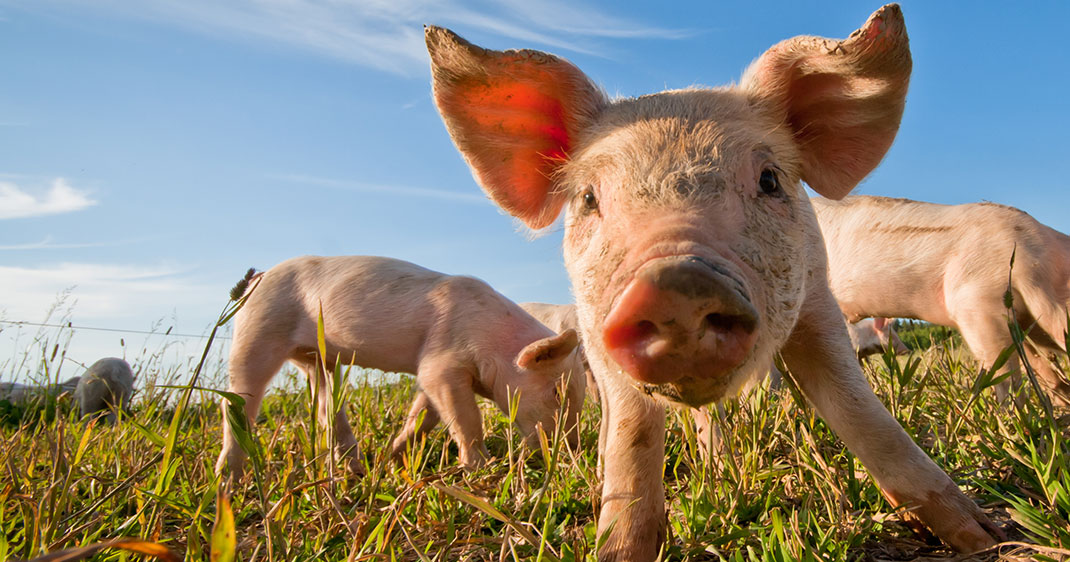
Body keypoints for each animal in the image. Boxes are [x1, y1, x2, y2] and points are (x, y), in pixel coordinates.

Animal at [215, 255, 585, 477]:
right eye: (556, 392)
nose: (573, 450)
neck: (493, 340)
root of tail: (259, 276)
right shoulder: (441, 361)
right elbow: (465, 418)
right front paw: (480, 468)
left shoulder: (432, 372)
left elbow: (424, 414)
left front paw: (391, 458)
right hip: (258, 328)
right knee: (237, 401)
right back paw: (227, 478)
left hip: (319, 359)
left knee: (326, 406)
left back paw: (356, 467)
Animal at [425, 5, 1000, 559]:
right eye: (589, 198)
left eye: (769, 179)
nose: (674, 283)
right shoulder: (595, 328)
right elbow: (632, 433)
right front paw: (617, 550)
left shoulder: (816, 300)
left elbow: (860, 411)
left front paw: (984, 538)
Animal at [814, 195, 1070, 406]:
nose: (906, 350)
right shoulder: (974, 302)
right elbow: (1004, 371)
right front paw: (1015, 420)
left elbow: (1036, 364)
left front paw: (1060, 401)